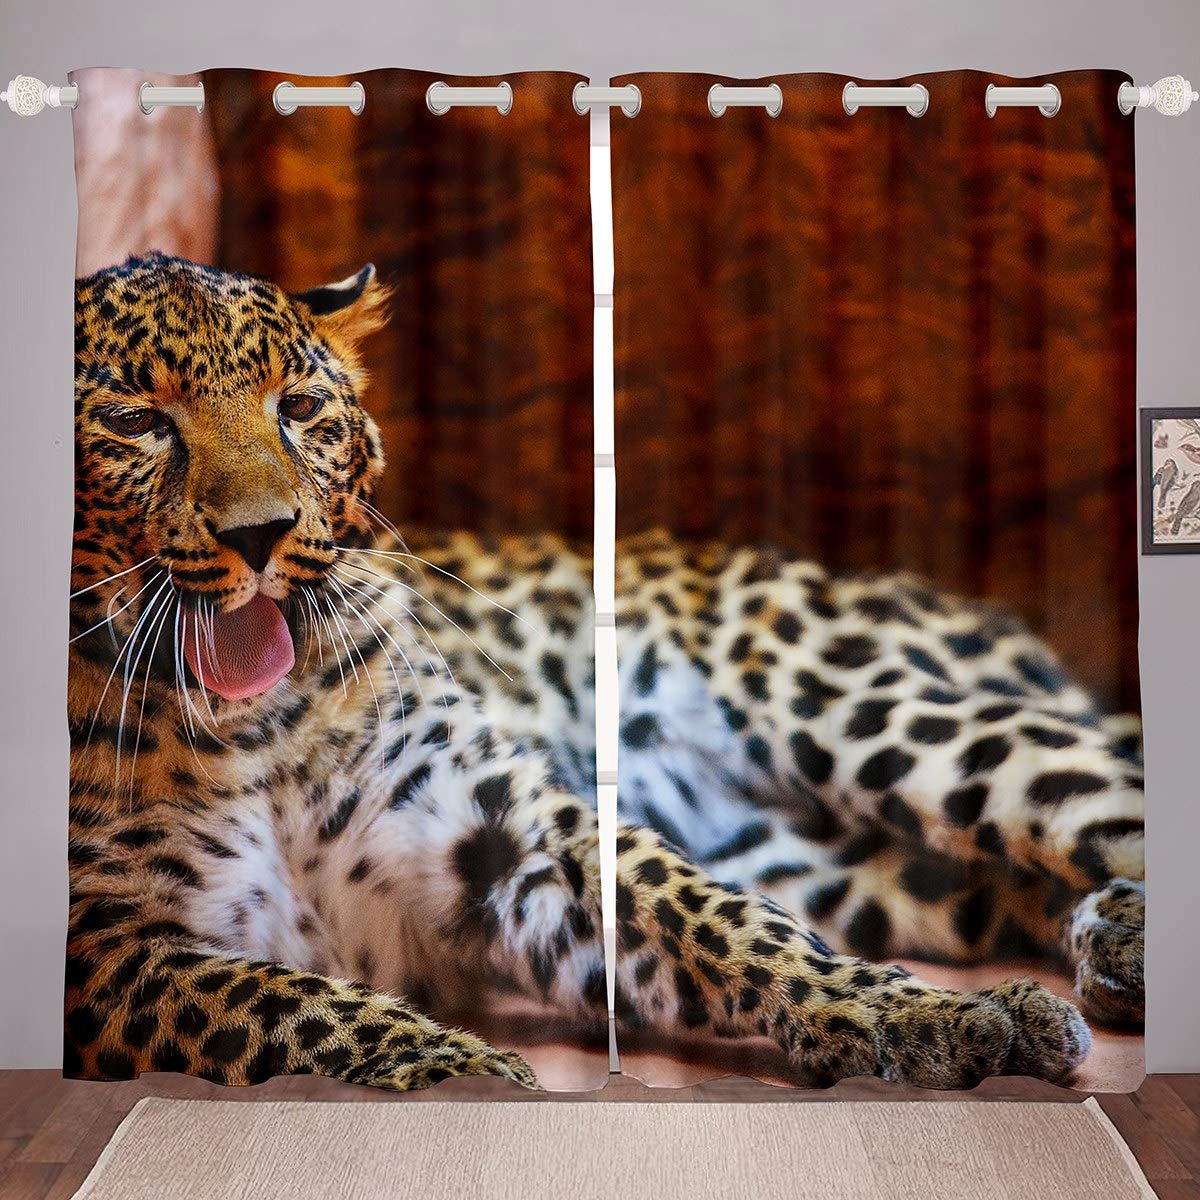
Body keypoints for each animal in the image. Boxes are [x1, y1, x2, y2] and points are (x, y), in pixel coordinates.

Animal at [66, 253, 1142, 1094]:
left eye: (298, 408)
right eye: (135, 419)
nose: (262, 534)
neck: (254, 724)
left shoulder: (501, 832)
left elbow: (719, 919)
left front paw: (926, 1015)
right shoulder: (105, 951)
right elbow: (292, 1006)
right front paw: (473, 1076)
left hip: (871, 713)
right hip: (847, 858)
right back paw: (1111, 947)